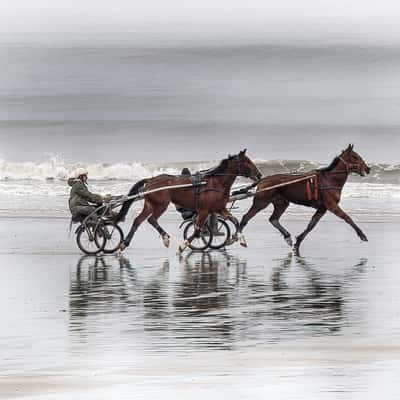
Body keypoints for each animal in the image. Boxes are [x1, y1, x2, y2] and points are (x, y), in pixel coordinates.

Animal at [115, 150, 260, 253]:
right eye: (247, 162)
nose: (259, 175)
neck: (216, 183)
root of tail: (150, 180)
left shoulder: (219, 208)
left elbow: (235, 220)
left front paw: (241, 239)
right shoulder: (204, 210)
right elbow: (197, 230)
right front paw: (183, 245)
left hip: (150, 205)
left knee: (138, 220)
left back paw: (124, 243)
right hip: (161, 205)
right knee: (152, 219)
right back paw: (165, 238)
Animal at [238, 145, 372, 255]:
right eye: (355, 157)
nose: (368, 168)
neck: (330, 180)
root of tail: (263, 179)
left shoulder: (322, 208)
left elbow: (311, 225)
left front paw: (298, 242)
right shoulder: (331, 205)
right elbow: (347, 217)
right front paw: (362, 235)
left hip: (282, 203)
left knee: (273, 219)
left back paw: (287, 237)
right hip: (261, 202)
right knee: (246, 217)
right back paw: (239, 239)